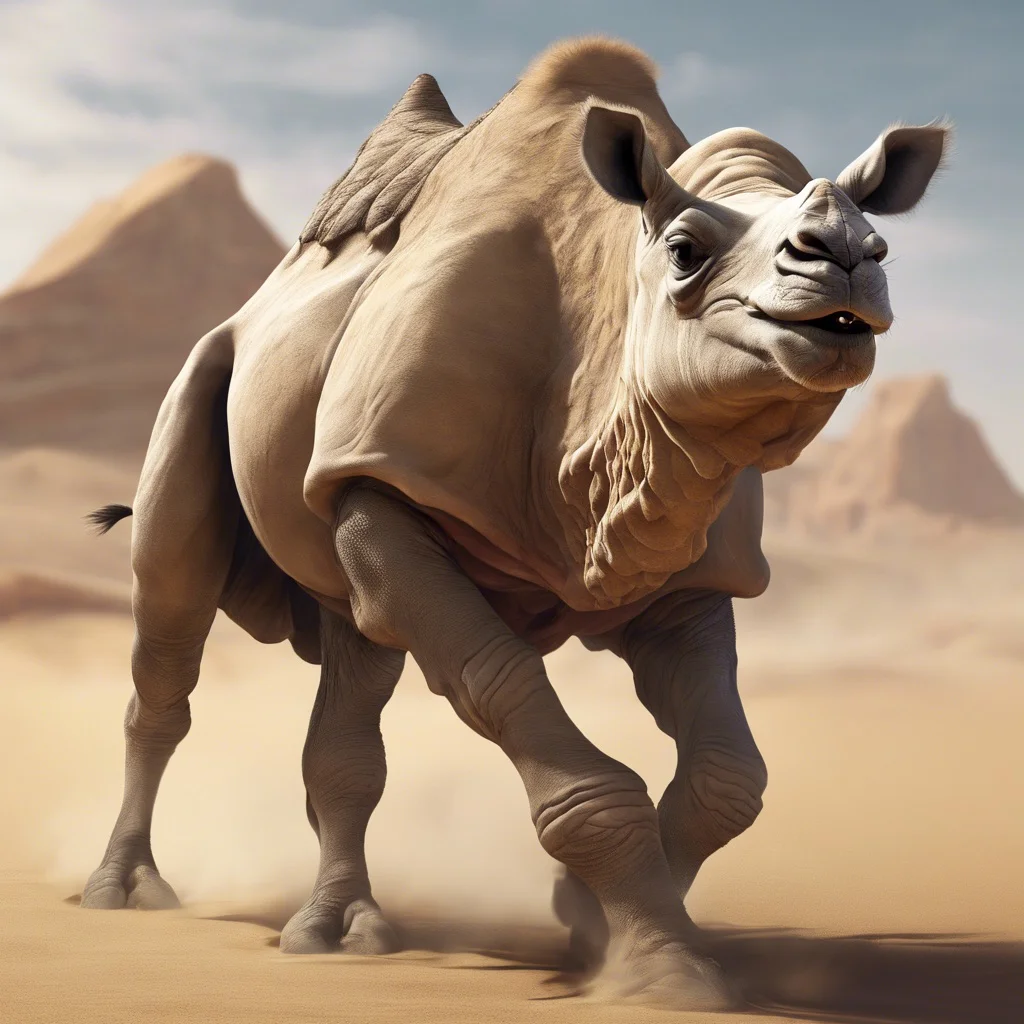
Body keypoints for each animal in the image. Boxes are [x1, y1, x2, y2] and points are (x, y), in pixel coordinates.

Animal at [81, 38, 948, 1009]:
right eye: (684, 254)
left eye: (882, 247)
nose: (845, 264)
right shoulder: (392, 476)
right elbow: (511, 697)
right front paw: (664, 978)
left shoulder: (682, 560)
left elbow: (729, 775)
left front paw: (591, 922)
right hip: (209, 373)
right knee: (174, 608)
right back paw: (129, 894)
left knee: (355, 650)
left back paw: (340, 937)